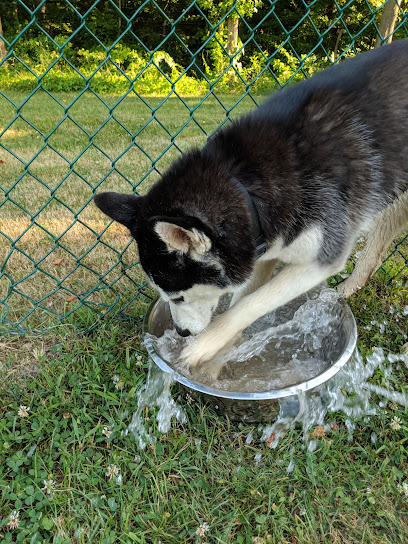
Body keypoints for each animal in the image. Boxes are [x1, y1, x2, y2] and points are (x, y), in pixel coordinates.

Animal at [94, 40, 408, 368]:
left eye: (177, 296)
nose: (181, 332)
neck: (243, 185)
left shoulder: (322, 255)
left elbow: (251, 304)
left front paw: (204, 344)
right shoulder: (266, 248)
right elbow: (241, 300)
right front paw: (223, 355)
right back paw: (344, 293)